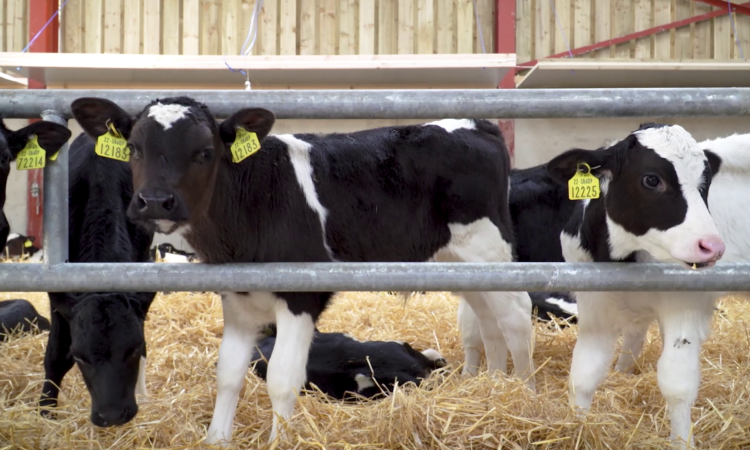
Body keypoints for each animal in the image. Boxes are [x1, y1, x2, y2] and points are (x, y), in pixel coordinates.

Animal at [545, 123, 726, 447]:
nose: (713, 246)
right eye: (652, 179)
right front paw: (577, 430)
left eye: (705, 182)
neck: (622, 258)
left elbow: (677, 384)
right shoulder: (594, 305)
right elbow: (584, 373)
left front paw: (681, 442)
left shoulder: (686, 305)